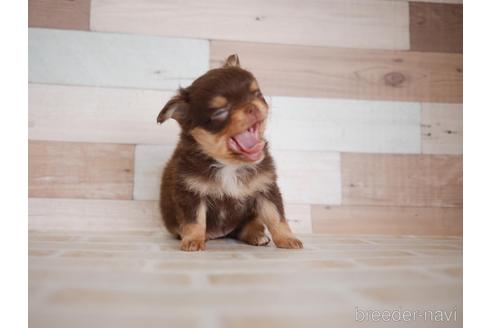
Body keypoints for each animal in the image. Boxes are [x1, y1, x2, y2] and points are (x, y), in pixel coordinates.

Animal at [158, 53, 304, 251]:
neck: (230, 165)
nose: (252, 106)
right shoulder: (191, 193)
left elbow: (276, 216)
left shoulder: (265, 189)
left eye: (257, 94)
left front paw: (287, 238)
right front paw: (193, 240)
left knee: (250, 225)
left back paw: (257, 235)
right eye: (220, 112)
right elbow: (194, 221)